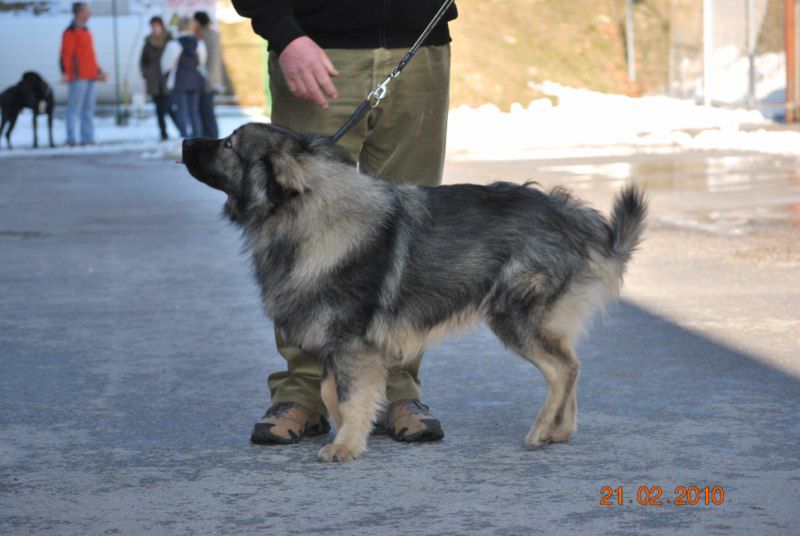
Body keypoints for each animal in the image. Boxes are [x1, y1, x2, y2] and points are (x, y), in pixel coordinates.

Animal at [181, 123, 644, 462]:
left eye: (228, 144)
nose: (184, 141)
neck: (308, 214)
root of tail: (575, 218)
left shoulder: (353, 344)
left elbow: (349, 394)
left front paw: (345, 445)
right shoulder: (339, 343)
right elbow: (332, 392)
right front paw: (350, 429)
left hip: (514, 317)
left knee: (563, 369)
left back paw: (541, 431)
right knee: (570, 364)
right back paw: (561, 430)